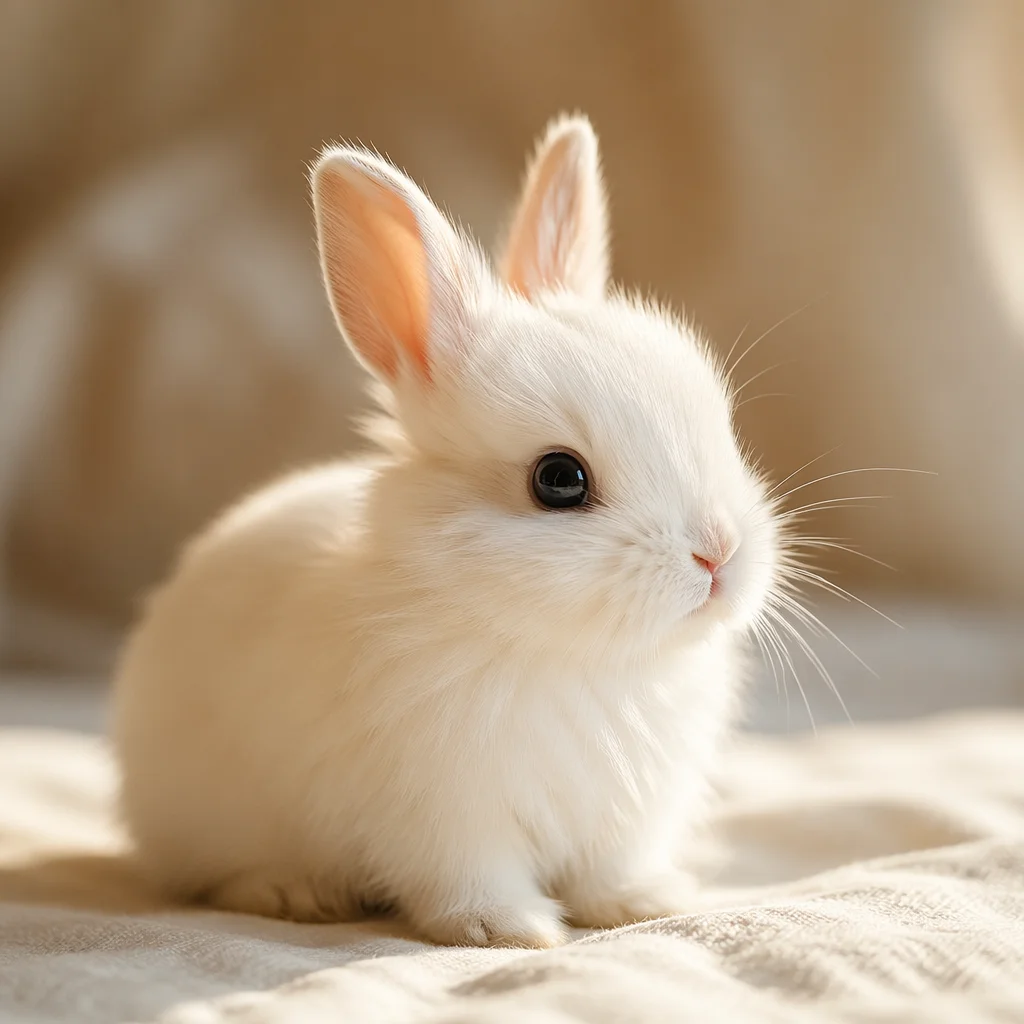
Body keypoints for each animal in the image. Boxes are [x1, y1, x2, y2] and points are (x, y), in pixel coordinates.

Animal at [111, 113, 780, 948]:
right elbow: (470, 879)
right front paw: (509, 930)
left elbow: (610, 871)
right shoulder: (448, 815)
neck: (574, 656)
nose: (719, 553)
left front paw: (645, 903)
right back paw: (294, 892)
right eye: (559, 479)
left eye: (720, 427)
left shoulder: (626, 816)